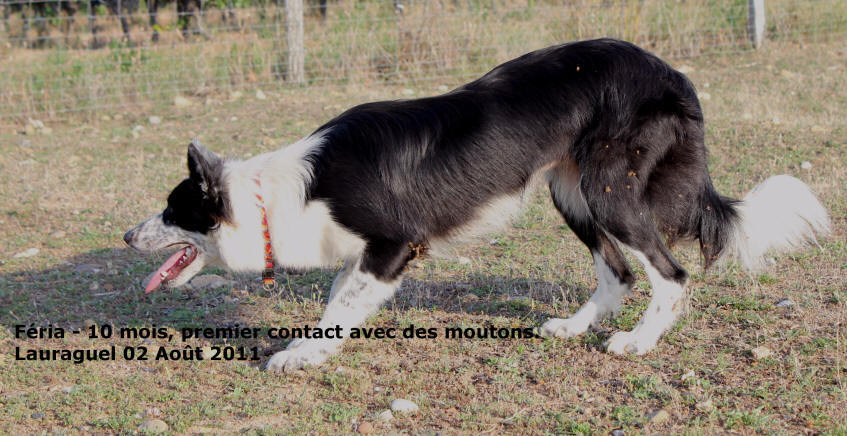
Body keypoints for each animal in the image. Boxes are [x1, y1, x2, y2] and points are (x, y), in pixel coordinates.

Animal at [122, 38, 832, 372]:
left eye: (173, 211)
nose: (128, 237)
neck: (276, 195)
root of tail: (671, 72)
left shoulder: (393, 244)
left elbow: (338, 304)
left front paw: (302, 354)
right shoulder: (370, 252)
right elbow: (342, 296)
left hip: (611, 191)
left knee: (670, 274)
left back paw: (638, 341)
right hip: (571, 191)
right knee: (618, 272)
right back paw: (574, 328)